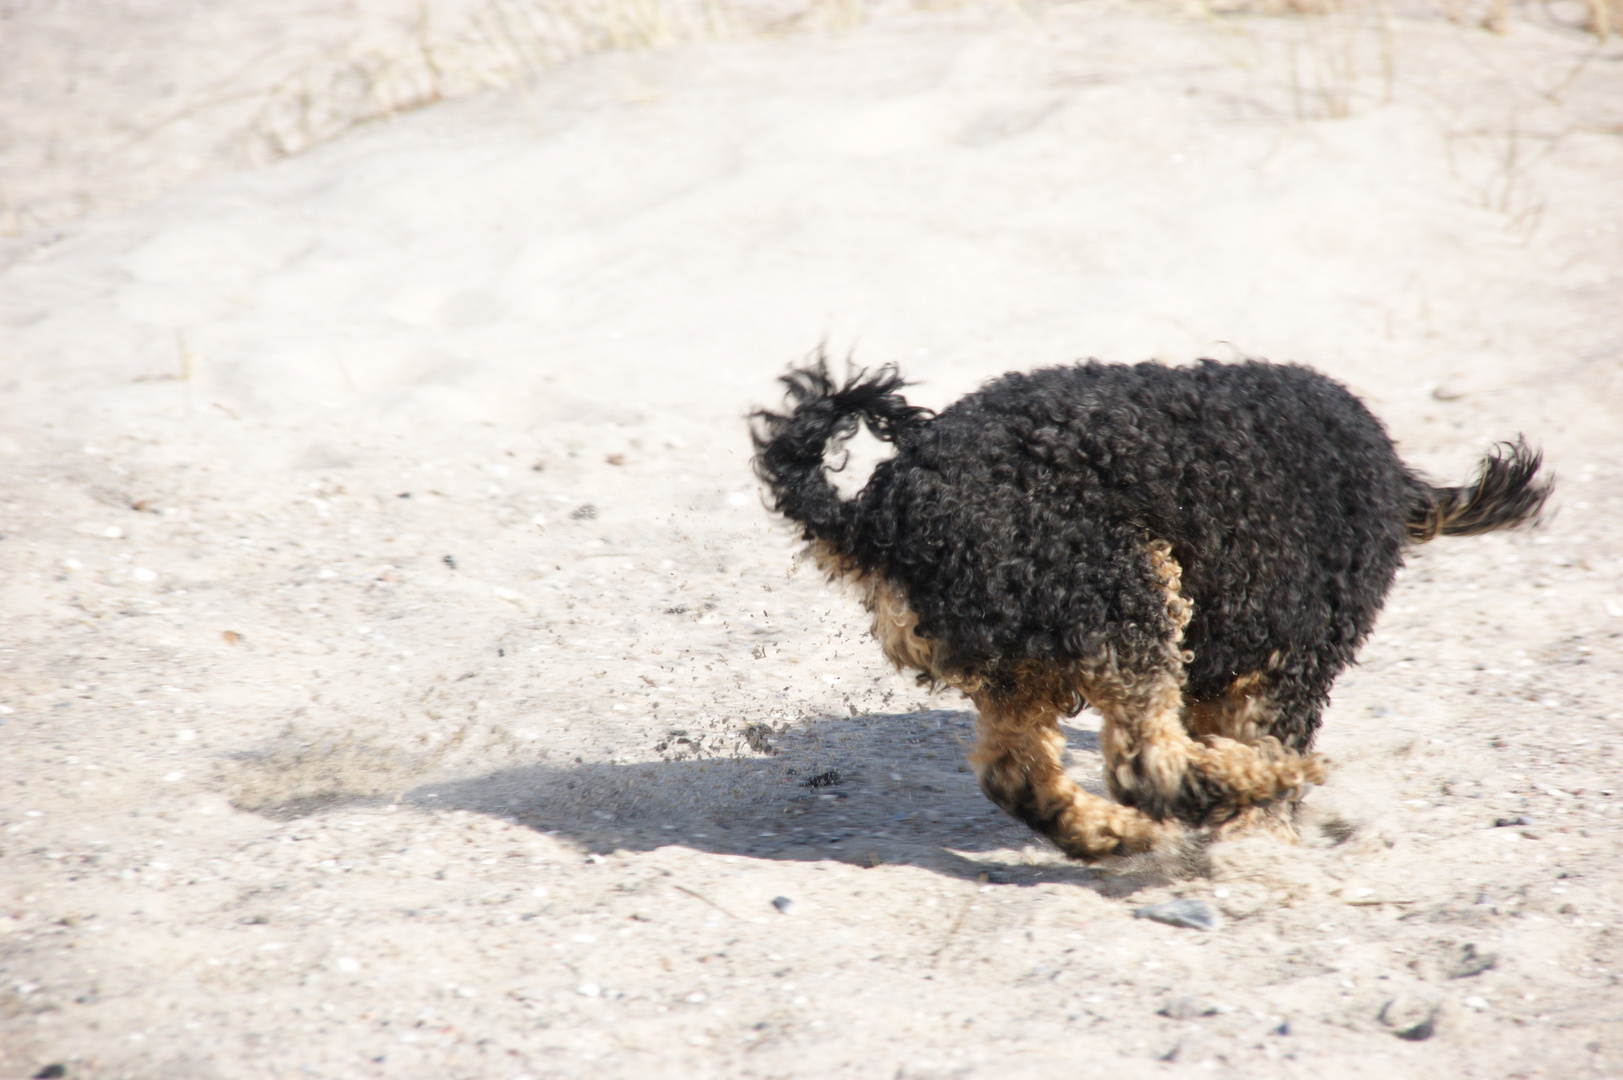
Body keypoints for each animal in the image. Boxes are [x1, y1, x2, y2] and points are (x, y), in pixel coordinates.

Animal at [753, 354, 1551, 857]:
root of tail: (877, 519)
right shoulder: (1292, 654)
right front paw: (1263, 826)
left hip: (1023, 662)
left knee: (1017, 774)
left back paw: (1114, 833)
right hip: (1127, 592)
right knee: (1151, 766)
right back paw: (1256, 781)